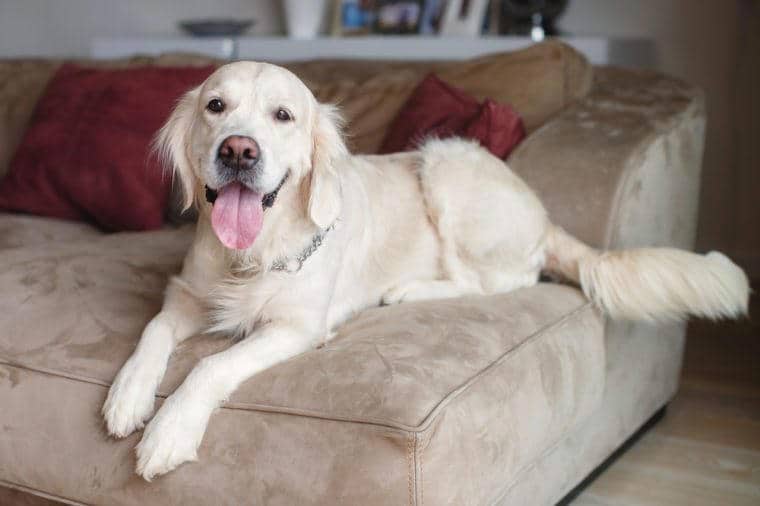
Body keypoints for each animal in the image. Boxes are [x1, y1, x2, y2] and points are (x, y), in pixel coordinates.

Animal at [101, 61, 748, 480]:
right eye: (216, 106)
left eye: (283, 115)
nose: (238, 150)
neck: (251, 253)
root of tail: (540, 211)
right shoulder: (186, 293)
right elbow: (154, 331)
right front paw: (129, 394)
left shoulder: (296, 327)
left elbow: (212, 364)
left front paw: (169, 431)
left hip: (445, 164)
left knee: (504, 279)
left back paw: (409, 291)